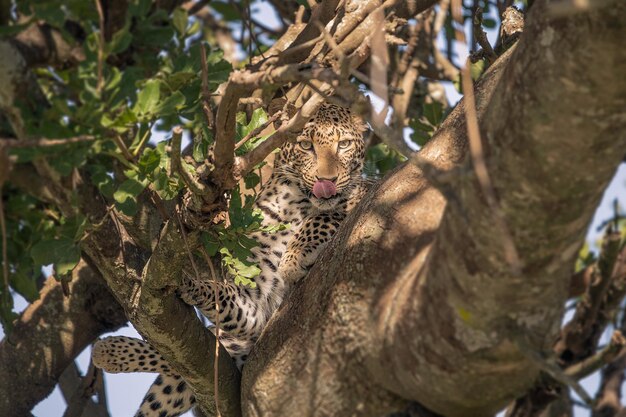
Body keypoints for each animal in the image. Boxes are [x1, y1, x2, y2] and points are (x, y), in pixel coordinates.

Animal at [91, 101, 370, 416]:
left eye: (344, 144)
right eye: (305, 145)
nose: (327, 180)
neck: (296, 204)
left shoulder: (368, 193)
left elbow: (329, 212)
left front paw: (294, 256)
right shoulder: (259, 304)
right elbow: (220, 295)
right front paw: (185, 283)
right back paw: (111, 351)